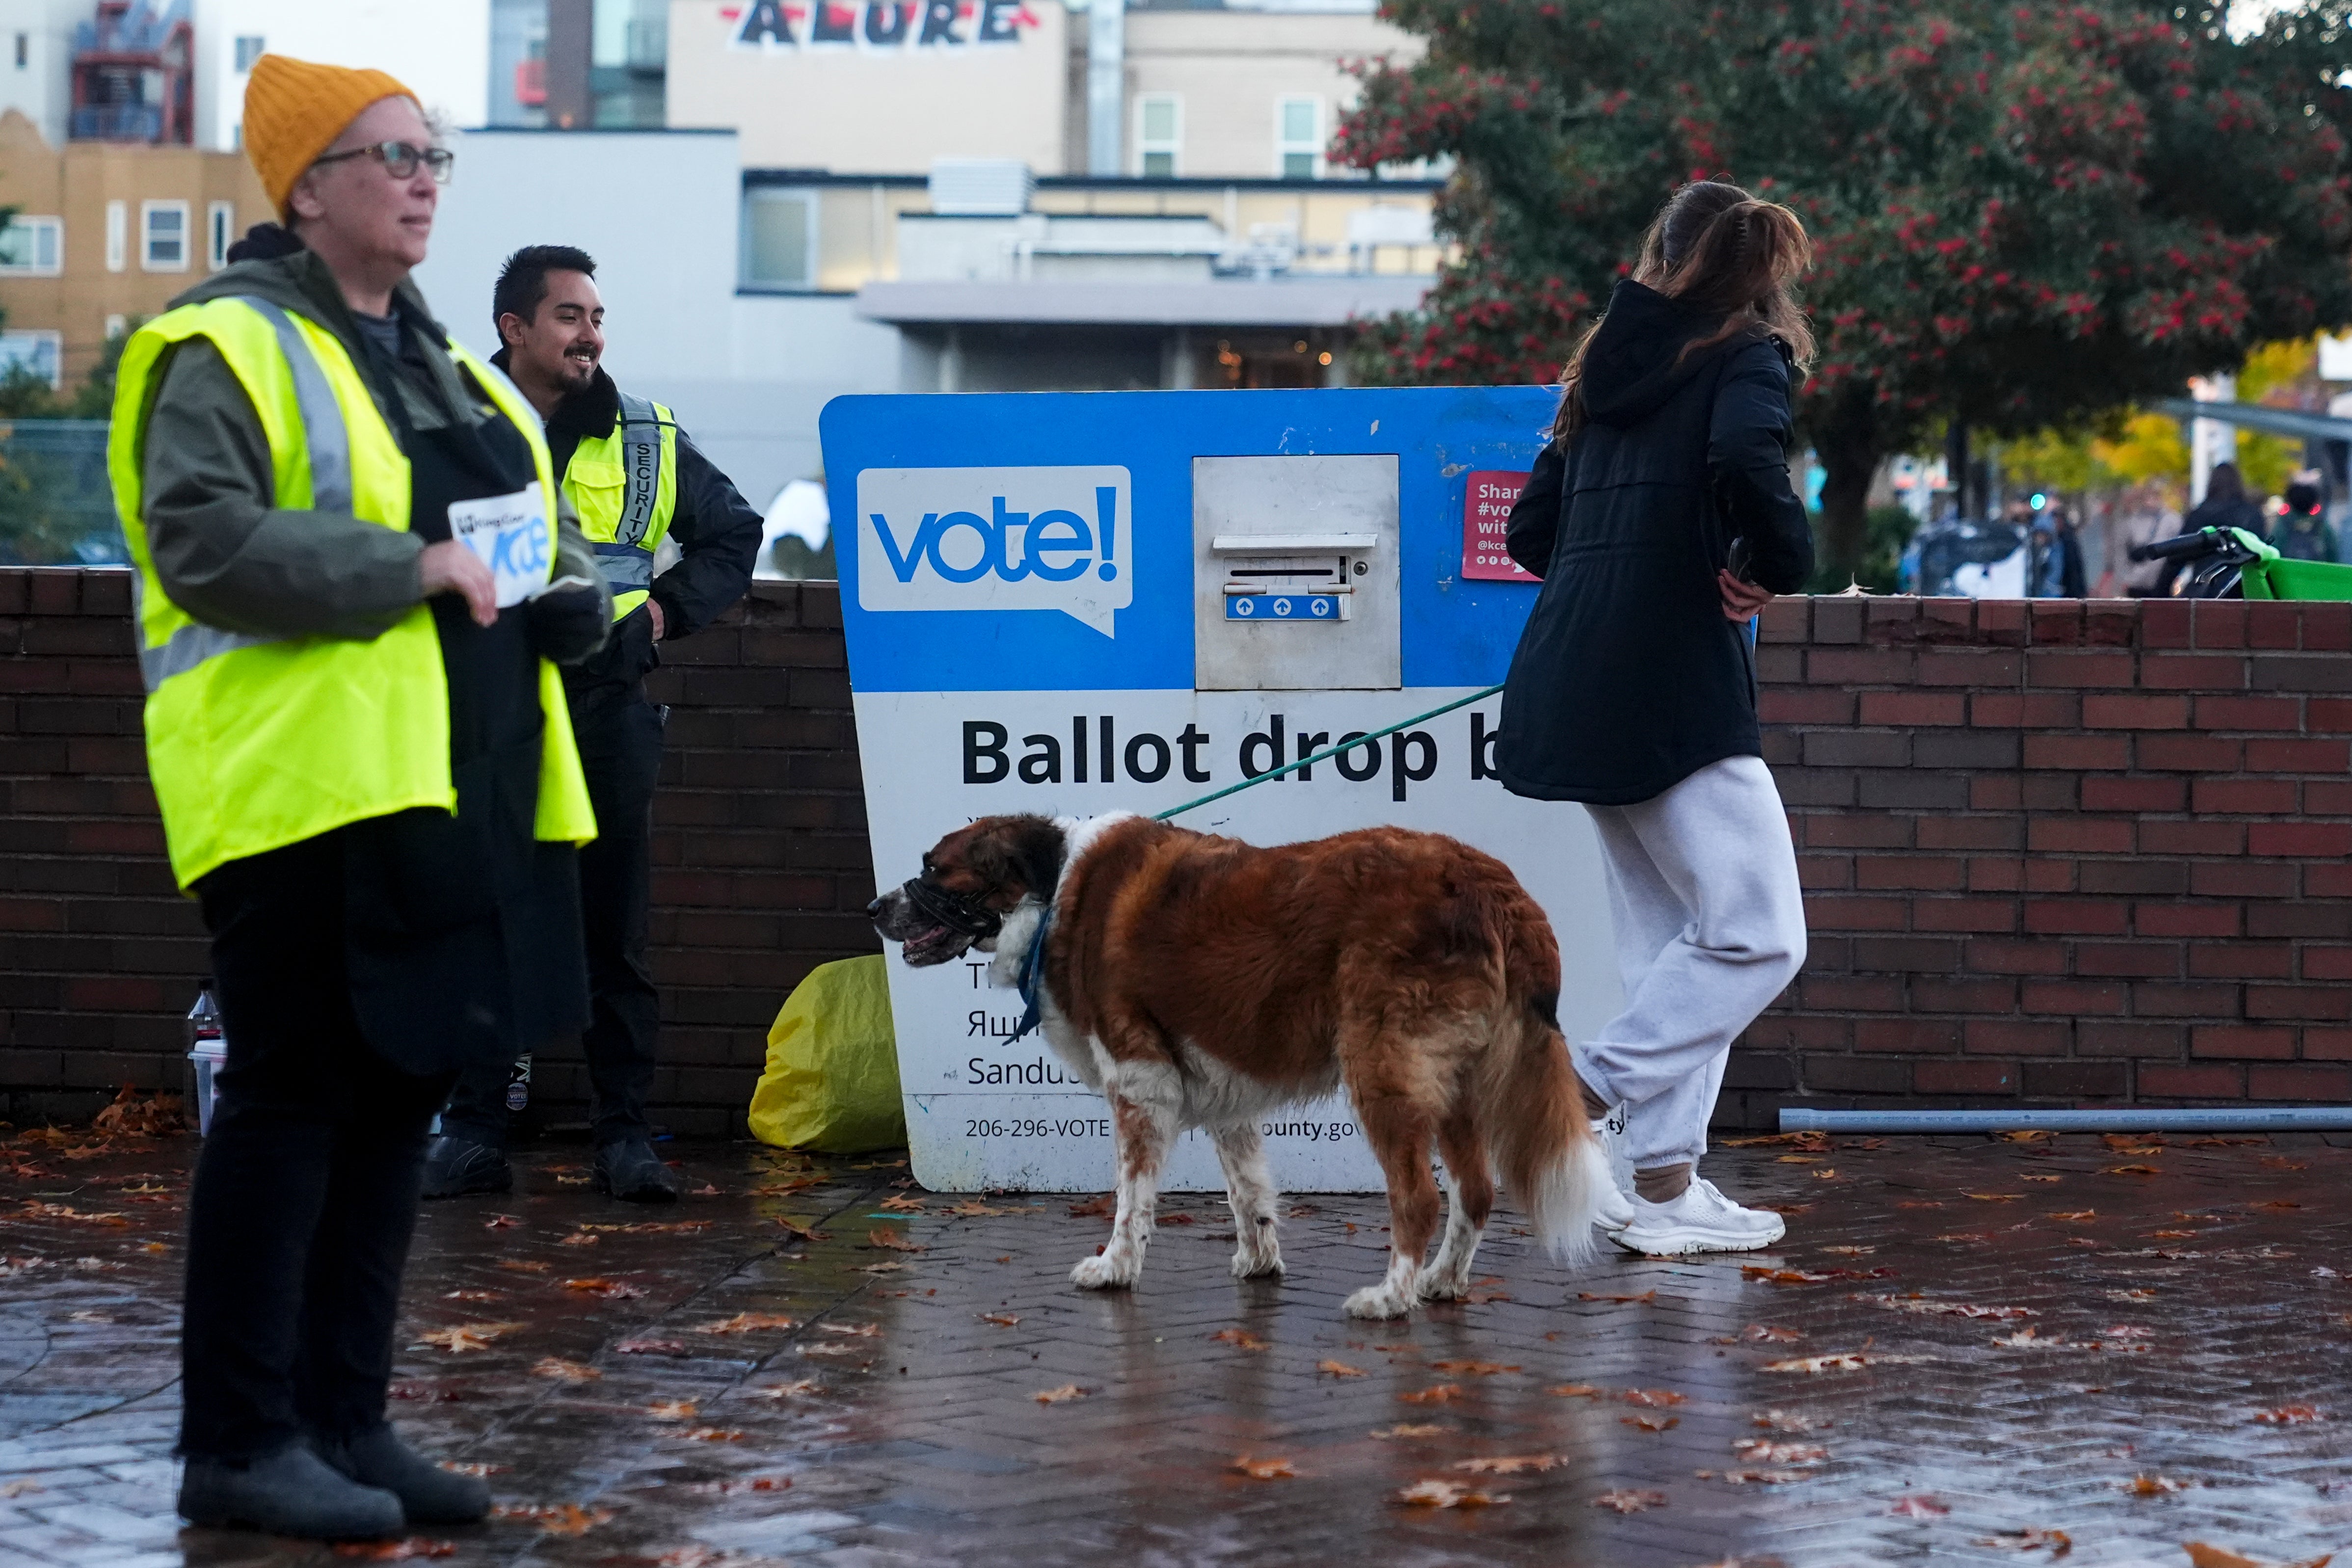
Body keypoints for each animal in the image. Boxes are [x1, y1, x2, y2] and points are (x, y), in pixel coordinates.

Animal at [875, 818, 1608, 1316]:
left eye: (934, 868)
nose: (875, 907)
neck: (1055, 898)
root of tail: (1490, 882)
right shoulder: (1224, 1097)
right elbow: (1247, 1192)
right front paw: (1260, 1261)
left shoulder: (1140, 1084)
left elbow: (1131, 1198)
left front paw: (1116, 1267)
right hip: (1453, 1083)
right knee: (1477, 1191)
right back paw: (1443, 1283)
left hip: (1384, 1072)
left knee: (1421, 1197)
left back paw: (1390, 1297)